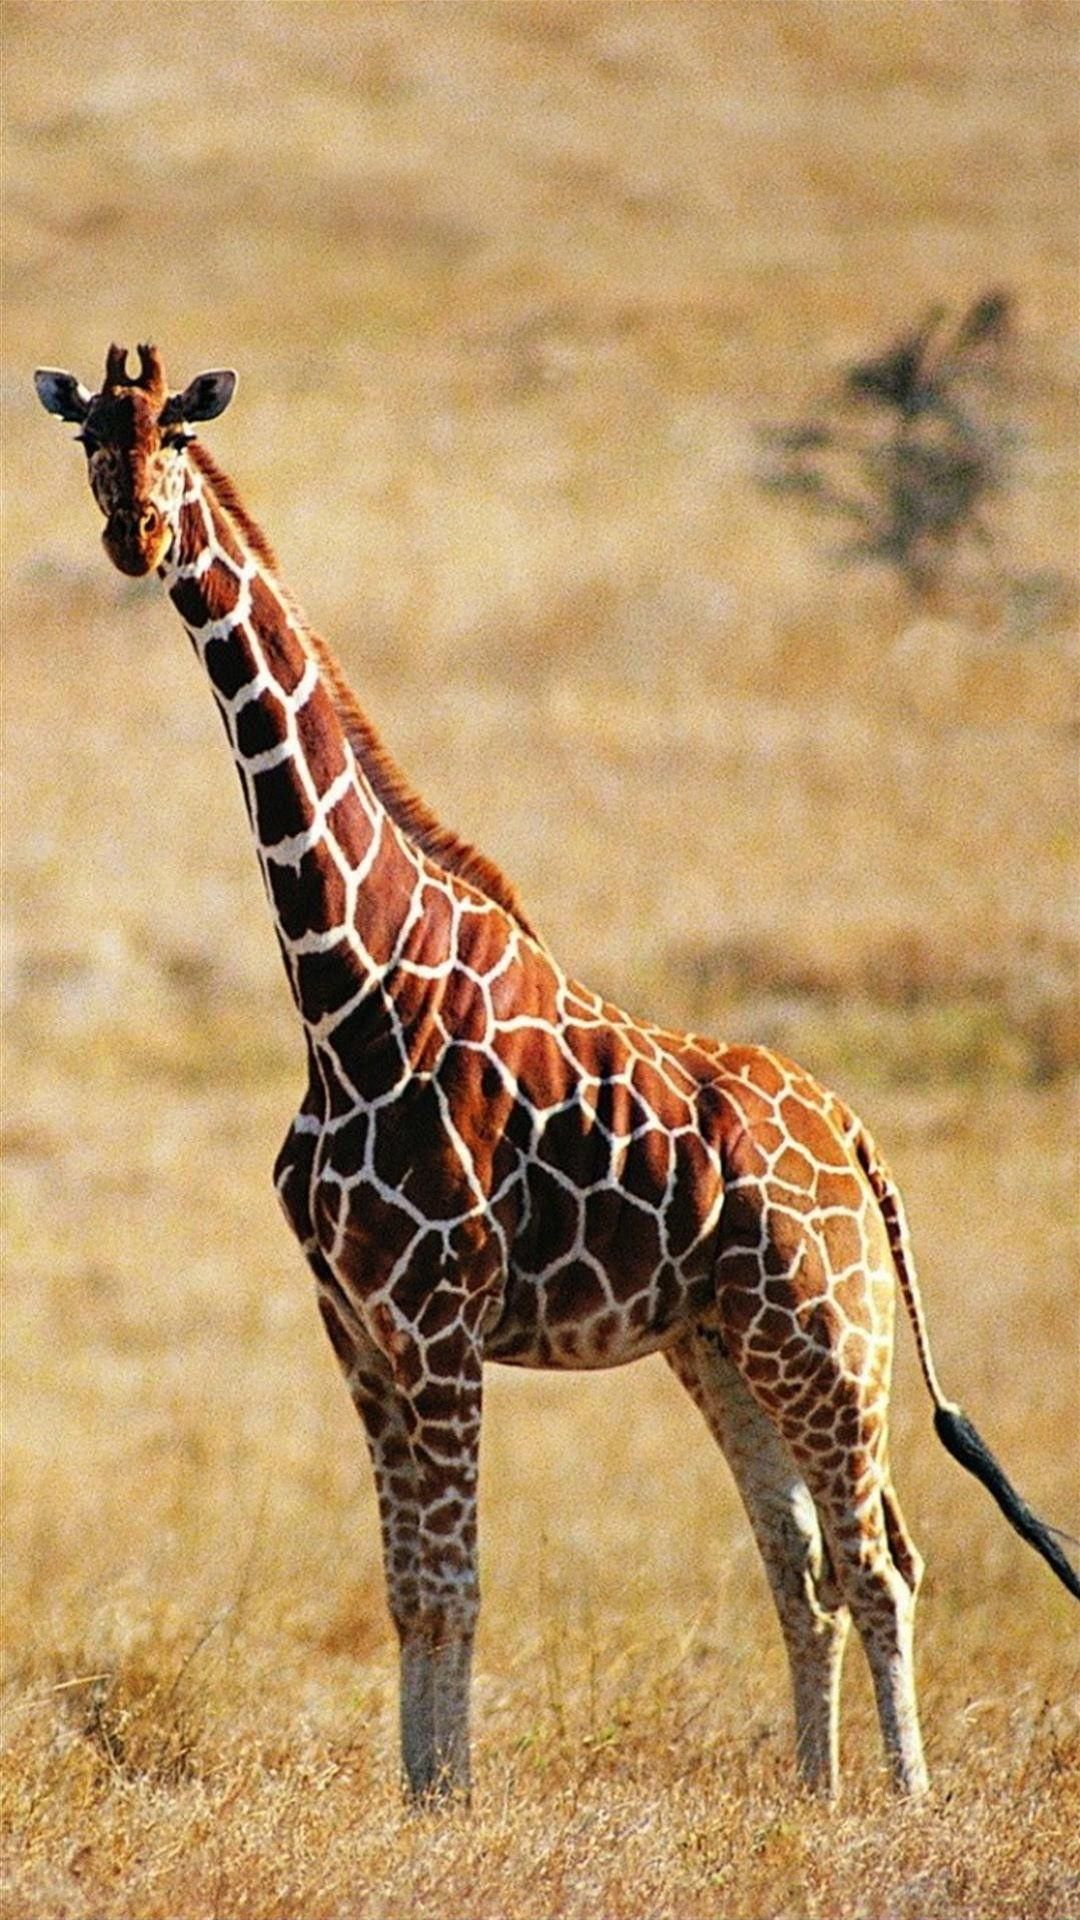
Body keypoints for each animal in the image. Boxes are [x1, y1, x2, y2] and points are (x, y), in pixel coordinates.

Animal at [35, 344, 1078, 1803]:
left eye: (178, 435)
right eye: (90, 437)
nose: (134, 533)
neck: (345, 991)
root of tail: (852, 1126)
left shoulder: (439, 1325)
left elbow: (457, 1586)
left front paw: (452, 1802)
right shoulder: (356, 1329)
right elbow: (408, 1588)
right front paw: (420, 1799)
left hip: (832, 1334)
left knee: (883, 1562)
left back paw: (905, 1803)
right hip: (721, 1345)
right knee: (802, 1567)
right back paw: (815, 1796)